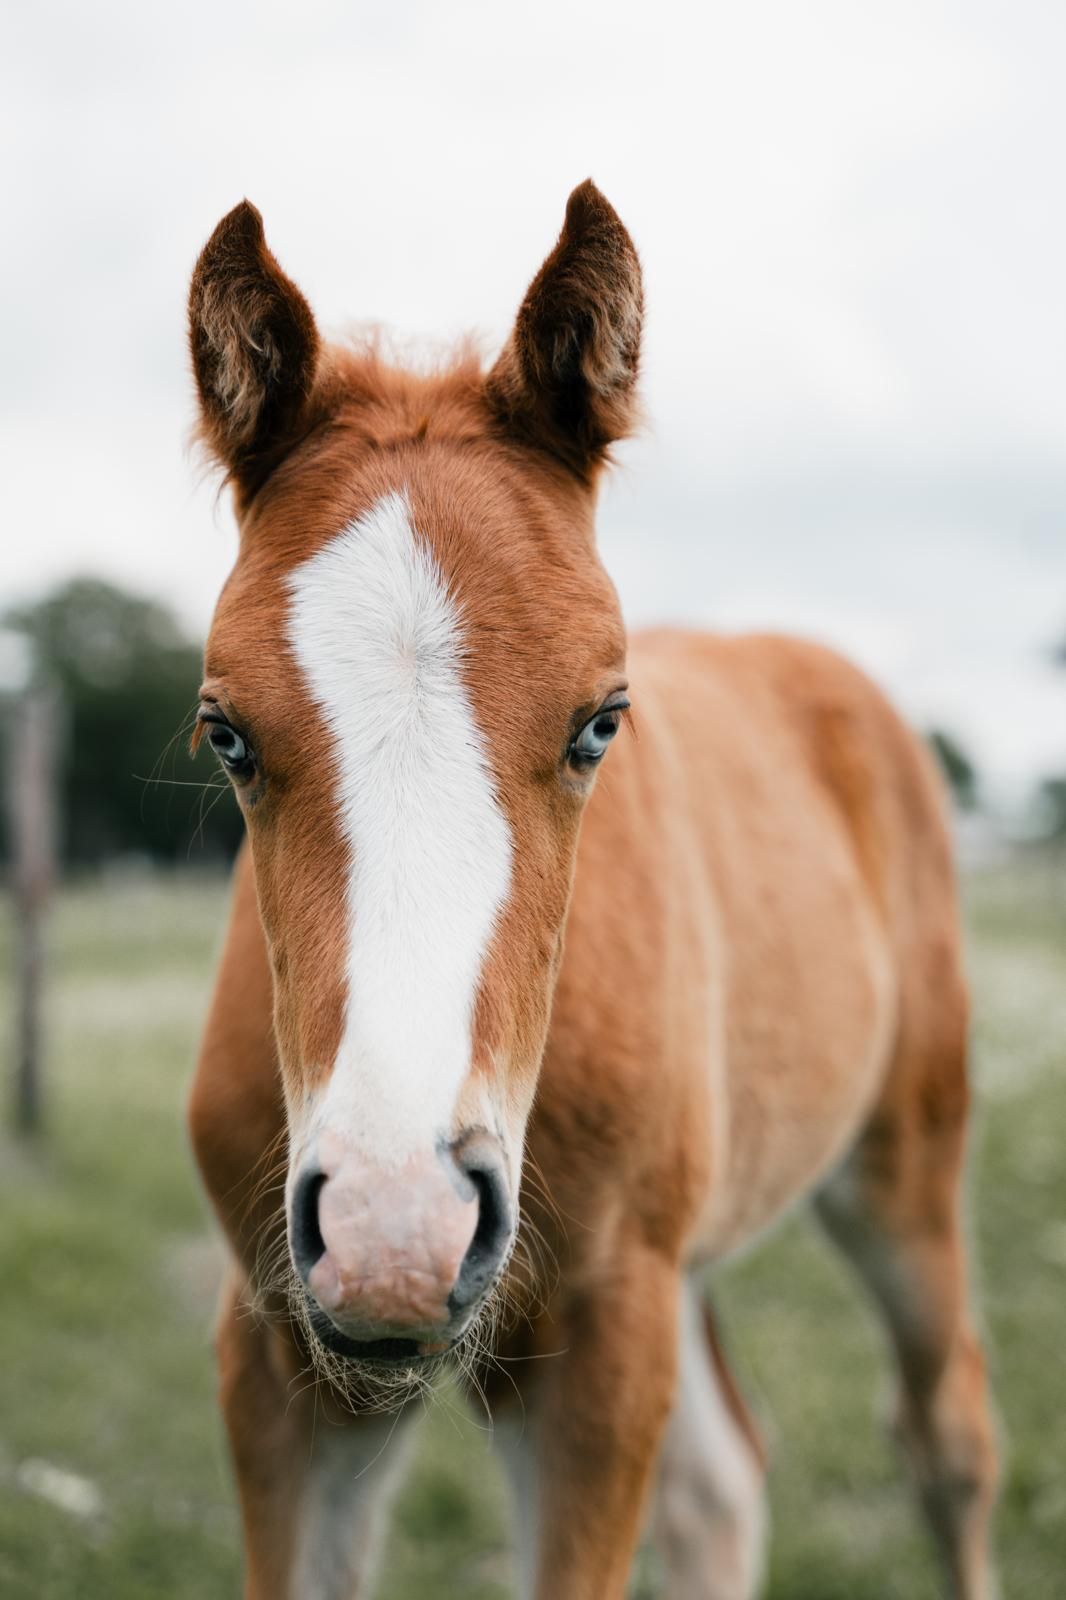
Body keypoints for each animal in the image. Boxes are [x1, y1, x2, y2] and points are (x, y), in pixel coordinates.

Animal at [186, 181, 999, 1599]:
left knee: (944, 1434)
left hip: (903, 1158)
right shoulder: (282, 1353)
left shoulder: (603, 1347)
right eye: (226, 731)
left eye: (601, 722)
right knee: (721, 1482)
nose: (399, 1231)